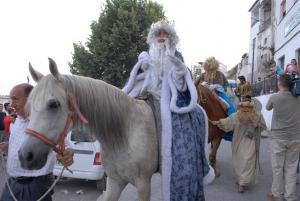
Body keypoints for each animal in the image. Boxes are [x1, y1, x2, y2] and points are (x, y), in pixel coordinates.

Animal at [18, 58, 159, 201]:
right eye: (29, 108)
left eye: (54, 104)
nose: (25, 156)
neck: (125, 133)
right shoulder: (115, 181)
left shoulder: (143, 184)